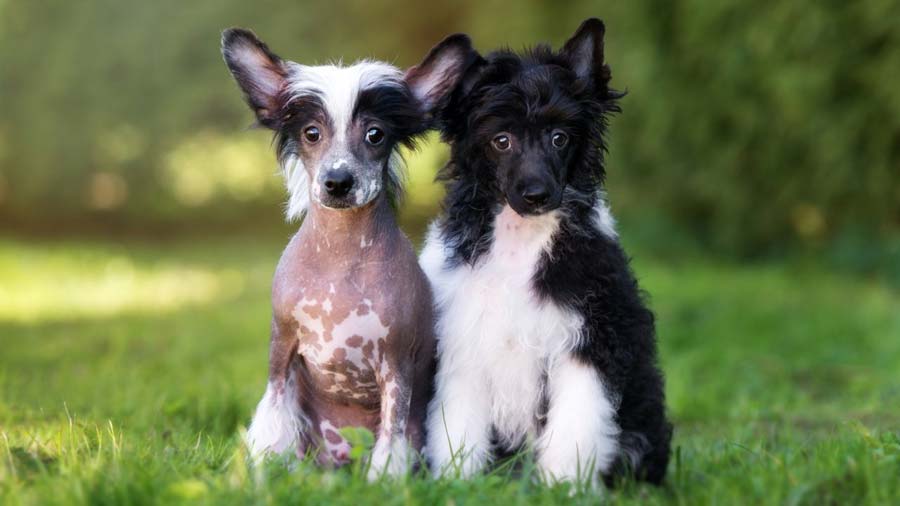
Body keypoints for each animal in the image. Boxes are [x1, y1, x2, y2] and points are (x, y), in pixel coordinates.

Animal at [223, 27, 438, 478]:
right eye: (311, 133)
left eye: (375, 134)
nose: (338, 181)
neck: (341, 259)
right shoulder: (282, 350)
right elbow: (271, 422)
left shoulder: (397, 365)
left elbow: (391, 440)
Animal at [404, 18, 672, 486]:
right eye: (501, 140)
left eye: (559, 137)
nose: (537, 195)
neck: (521, 244)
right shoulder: (464, 345)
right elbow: (458, 429)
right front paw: (457, 482)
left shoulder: (587, 343)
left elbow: (575, 429)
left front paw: (565, 486)